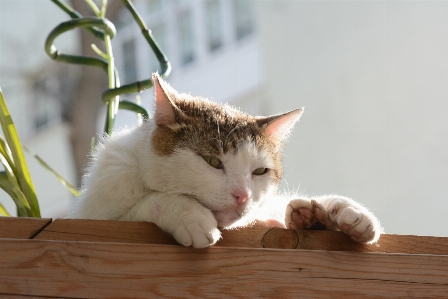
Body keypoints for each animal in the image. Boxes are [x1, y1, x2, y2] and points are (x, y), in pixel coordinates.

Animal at [70, 74, 382, 250]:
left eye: (260, 171)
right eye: (212, 161)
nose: (242, 196)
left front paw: (338, 212)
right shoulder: (98, 217)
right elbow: (143, 205)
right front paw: (188, 214)